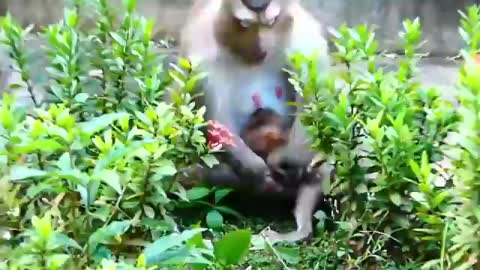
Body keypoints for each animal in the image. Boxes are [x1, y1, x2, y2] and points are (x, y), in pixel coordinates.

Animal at [178, 0, 332, 242]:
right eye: (246, 26)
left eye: (271, 23)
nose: (260, 46)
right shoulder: (201, 49)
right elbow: (212, 115)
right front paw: (258, 169)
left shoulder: (305, 38)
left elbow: (314, 101)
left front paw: (280, 159)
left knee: (317, 159)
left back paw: (300, 228)